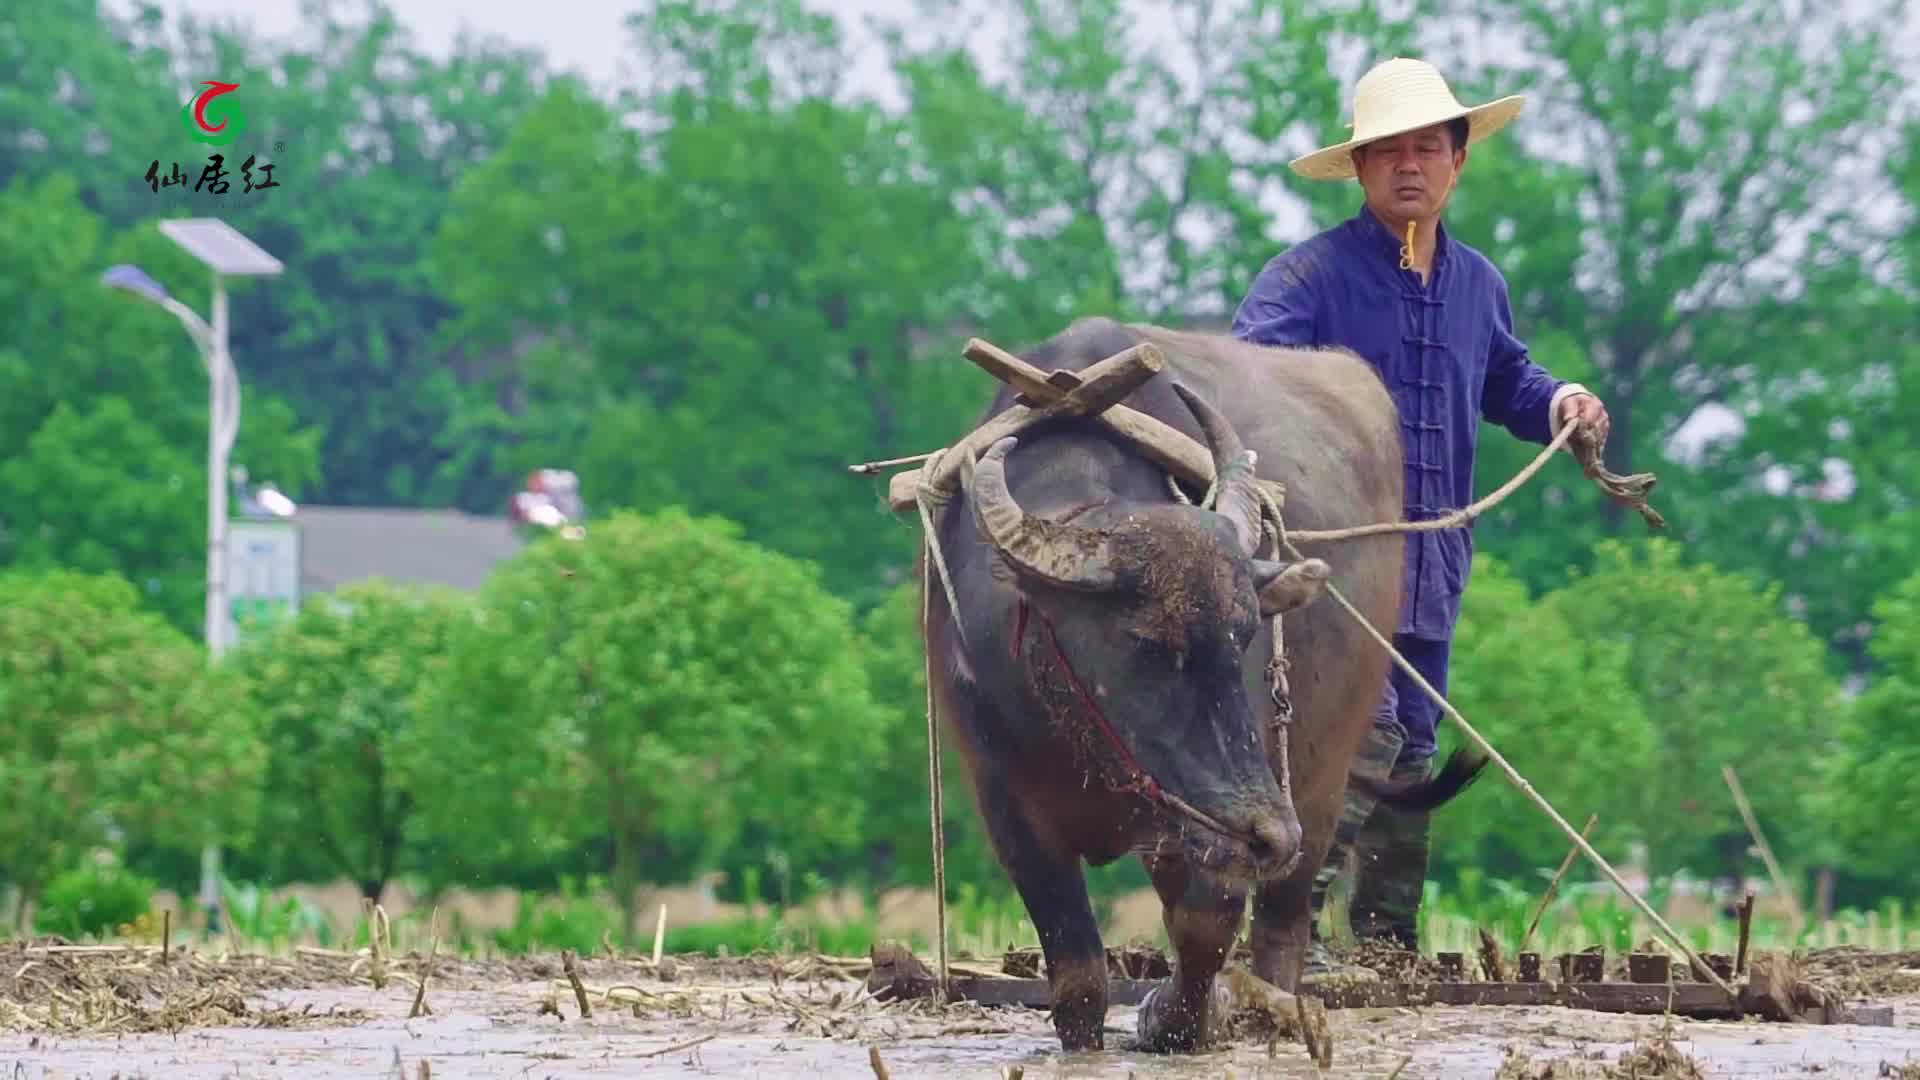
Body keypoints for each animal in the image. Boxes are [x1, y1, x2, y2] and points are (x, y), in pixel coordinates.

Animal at [913, 315, 1482, 1045]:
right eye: (1146, 643)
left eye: (1241, 636)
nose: (1270, 833)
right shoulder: (1008, 803)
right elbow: (1078, 975)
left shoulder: (1217, 818)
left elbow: (1205, 924)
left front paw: (1177, 1018)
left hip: (1324, 776)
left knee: (1284, 921)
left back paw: (1276, 1000)